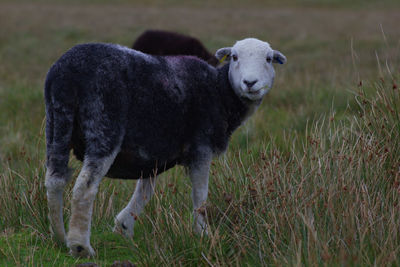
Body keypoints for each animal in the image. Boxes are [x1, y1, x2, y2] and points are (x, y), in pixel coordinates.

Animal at [43, 37, 286, 258]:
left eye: (268, 59)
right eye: (234, 57)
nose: (250, 83)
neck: (220, 92)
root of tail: (66, 74)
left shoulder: (152, 154)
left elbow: (145, 191)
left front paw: (124, 227)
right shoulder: (201, 147)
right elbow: (200, 194)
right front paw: (203, 233)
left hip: (56, 122)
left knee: (55, 180)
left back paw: (59, 238)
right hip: (104, 122)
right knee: (84, 187)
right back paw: (80, 247)